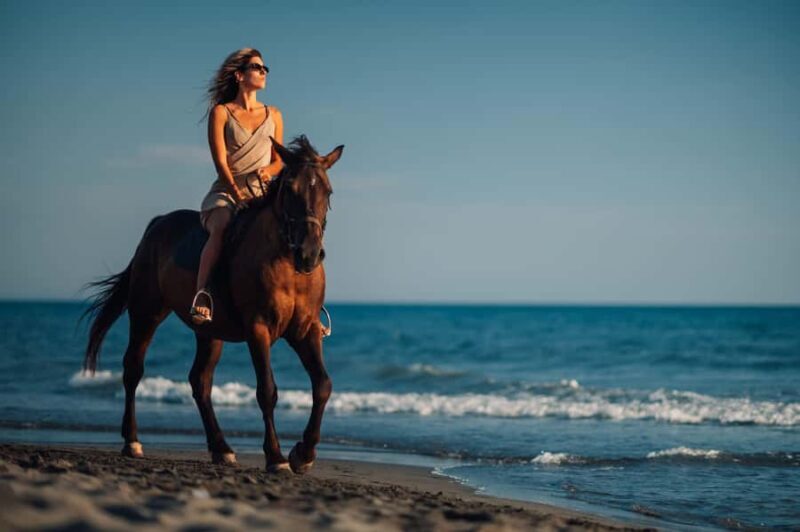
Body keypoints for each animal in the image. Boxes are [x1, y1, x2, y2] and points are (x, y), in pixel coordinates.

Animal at [81, 135, 343, 474]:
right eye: (289, 189)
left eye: (328, 191)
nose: (309, 254)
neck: (288, 265)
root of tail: (156, 227)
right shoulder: (258, 329)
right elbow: (267, 391)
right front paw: (275, 457)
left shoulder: (305, 330)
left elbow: (323, 385)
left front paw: (304, 453)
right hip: (146, 313)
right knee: (133, 369)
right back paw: (133, 442)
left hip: (209, 332)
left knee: (200, 381)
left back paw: (221, 448)